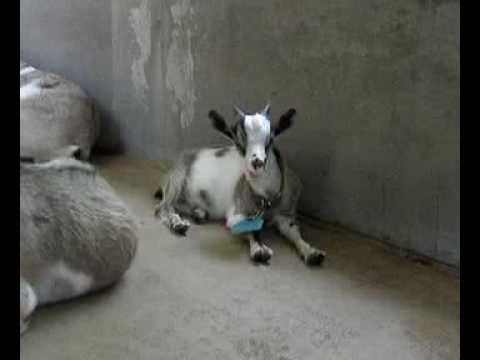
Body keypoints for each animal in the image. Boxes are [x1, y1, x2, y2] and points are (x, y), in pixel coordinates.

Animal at [154, 102, 326, 266]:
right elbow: (251, 231)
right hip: (176, 180)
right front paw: (259, 251)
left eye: (271, 139)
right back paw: (178, 224)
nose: (257, 162)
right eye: (237, 141)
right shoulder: (236, 214)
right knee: (163, 207)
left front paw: (312, 252)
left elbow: (295, 234)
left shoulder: (286, 215)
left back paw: (199, 214)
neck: (267, 199)